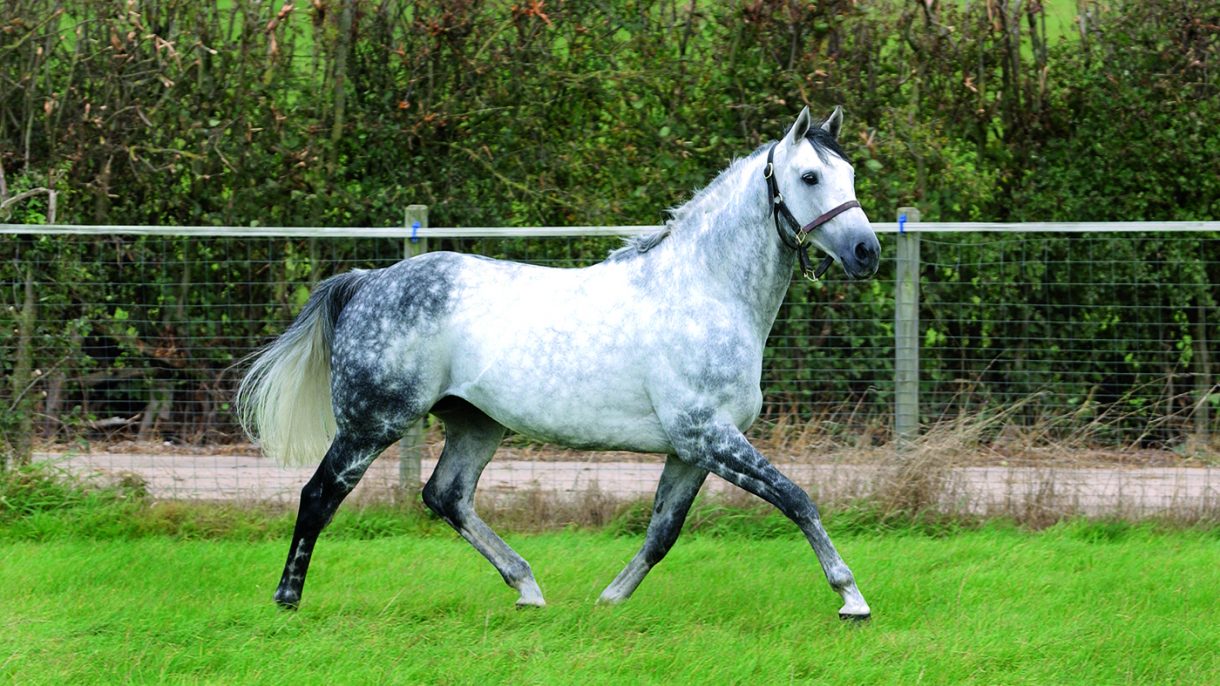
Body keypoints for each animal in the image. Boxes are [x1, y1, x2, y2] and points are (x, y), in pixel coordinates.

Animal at [237, 106, 880, 620]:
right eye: (809, 176)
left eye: (849, 175)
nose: (866, 252)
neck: (704, 292)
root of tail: (367, 281)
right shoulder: (708, 436)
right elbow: (796, 499)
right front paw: (851, 598)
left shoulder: (692, 448)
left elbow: (662, 532)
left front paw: (610, 599)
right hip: (373, 423)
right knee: (319, 495)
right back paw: (288, 600)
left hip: (475, 424)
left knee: (446, 496)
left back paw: (527, 588)